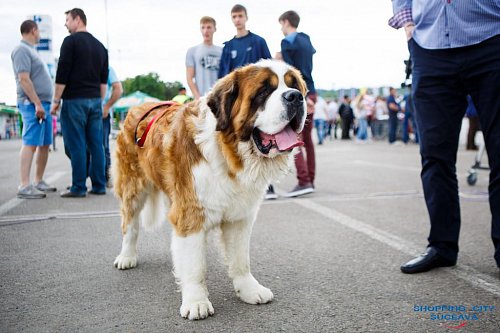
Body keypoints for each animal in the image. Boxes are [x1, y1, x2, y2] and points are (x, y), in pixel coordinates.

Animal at [113, 58, 306, 318]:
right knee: (130, 226)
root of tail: (137, 108)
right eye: (264, 91)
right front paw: (196, 301)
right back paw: (127, 256)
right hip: (132, 187)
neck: (229, 152)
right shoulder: (191, 212)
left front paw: (249, 289)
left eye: (294, 85)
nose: (295, 97)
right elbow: (195, 265)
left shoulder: (240, 217)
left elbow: (240, 259)